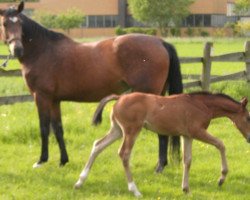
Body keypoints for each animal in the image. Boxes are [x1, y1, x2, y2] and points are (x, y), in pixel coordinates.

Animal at [0, 1, 183, 171]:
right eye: (5, 23)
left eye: (20, 23)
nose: (17, 49)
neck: (43, 51)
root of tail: (160, 42)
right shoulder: (54, 100)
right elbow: (58, 129)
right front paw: (63, 160)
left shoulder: (41, 97)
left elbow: (44, 128)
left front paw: (41, 160)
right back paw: (161, 164)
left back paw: (160, 166)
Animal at [74, 91, 250, 196]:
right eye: (248, 118)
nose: (249, 137)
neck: (202, 104)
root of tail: (120, 98)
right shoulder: (197, 132)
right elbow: (221, 144)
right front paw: (221, 178)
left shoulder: (187, 135)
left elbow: (187, 160)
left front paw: (185, 188)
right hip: (131, 130)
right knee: (124, 153)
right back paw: (135, 190)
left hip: (117, 130)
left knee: (98, 145)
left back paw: (80, 181)